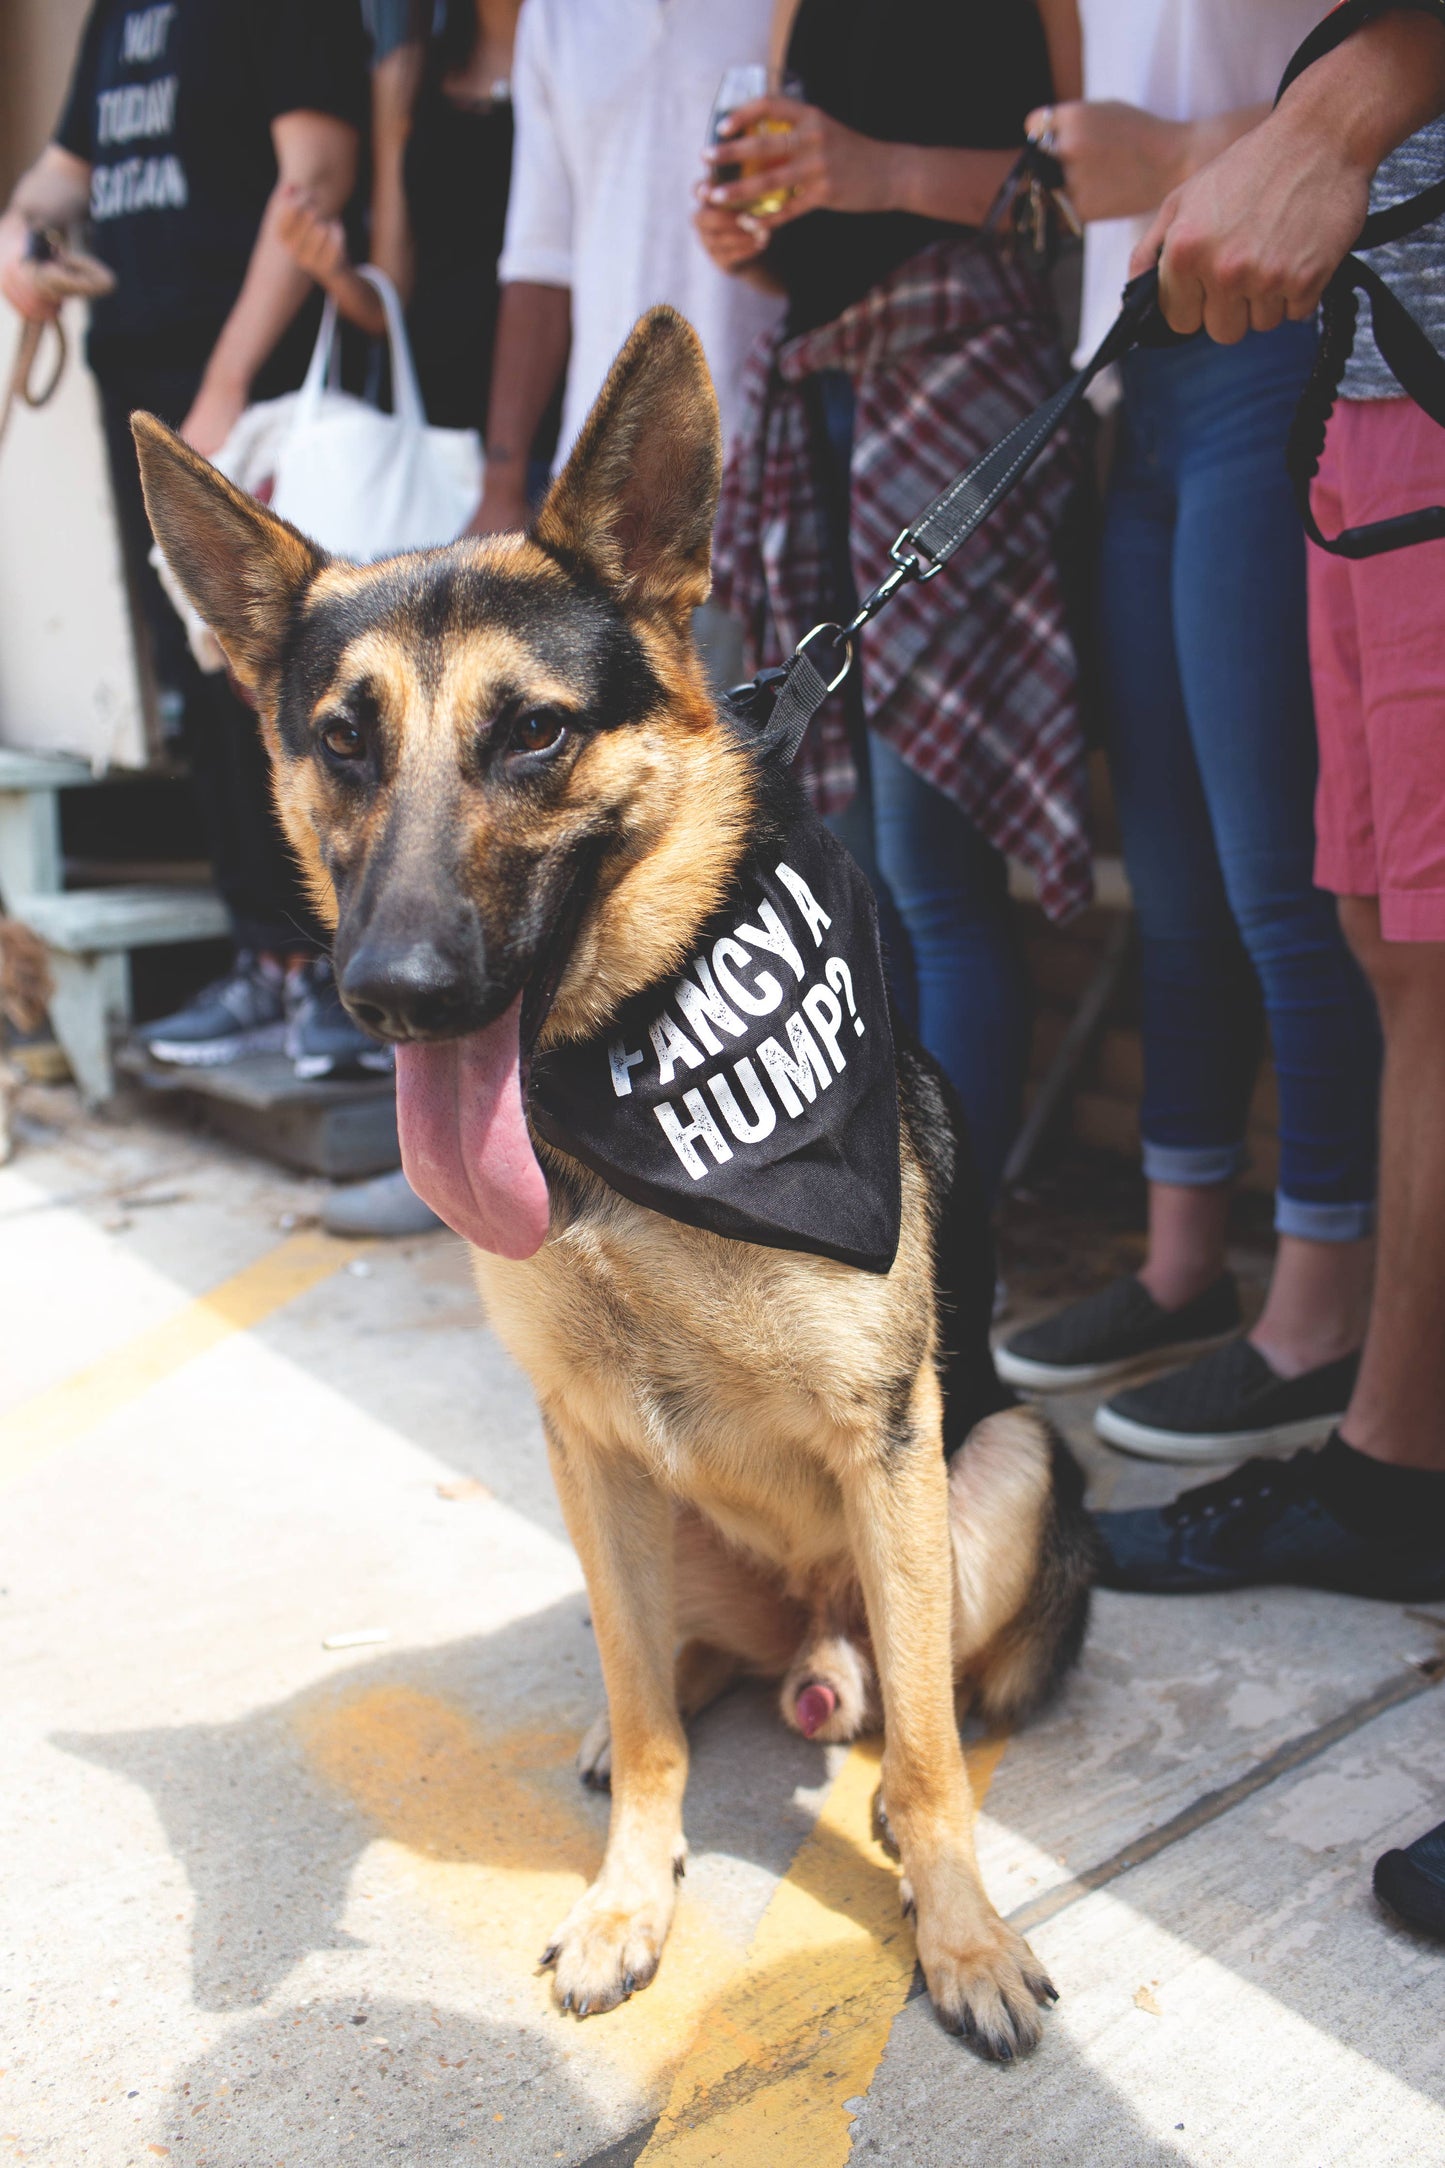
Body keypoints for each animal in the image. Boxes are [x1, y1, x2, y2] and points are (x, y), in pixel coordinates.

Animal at [135, 305, 1096, 2046]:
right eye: (340, 743)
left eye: (535, 732)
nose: (393, 995)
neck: (632, 1078)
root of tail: (809, 1625)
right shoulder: (585, 1437)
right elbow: (650, 1719)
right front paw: (628, 1897)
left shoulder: (891, 1443)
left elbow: (933, 1755)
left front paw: (962, 1935)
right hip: (639, 1514)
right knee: (668, 1668)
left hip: (997, 1466)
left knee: (931, 1693)